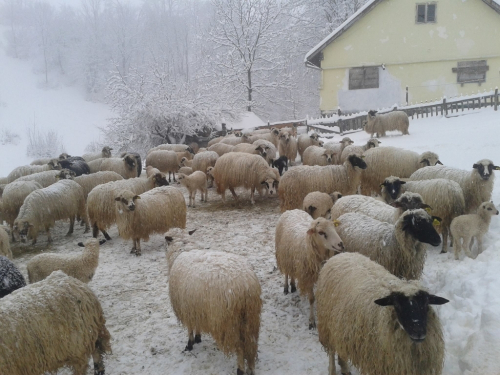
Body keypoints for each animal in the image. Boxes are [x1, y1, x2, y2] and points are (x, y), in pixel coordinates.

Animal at [316, 251, 450, 375]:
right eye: (397, 305)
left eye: (426, 304)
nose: (418, 332)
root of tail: (341, 254)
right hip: (326, 323)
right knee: (331, 351)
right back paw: (333, 370)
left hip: (339, 327)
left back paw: (344, 367)